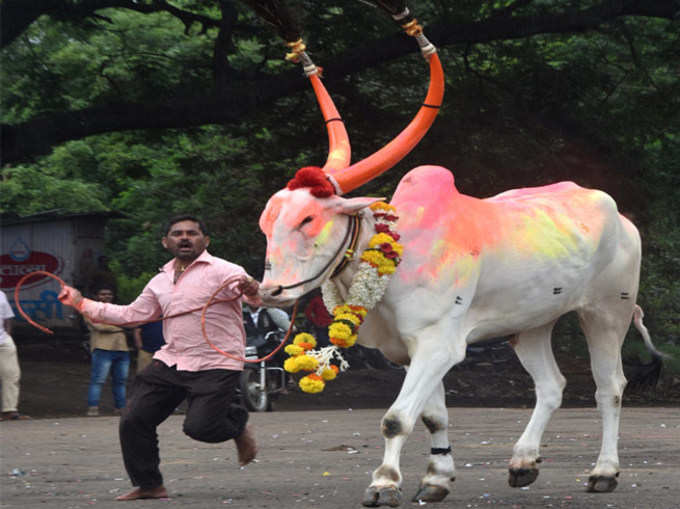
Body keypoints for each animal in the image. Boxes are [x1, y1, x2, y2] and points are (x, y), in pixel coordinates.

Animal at [250, 0, 664, 508]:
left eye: (308, 218)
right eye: (267, 220)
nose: (270, 291)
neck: (396, 256)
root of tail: (620, 216)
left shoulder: (438, 343)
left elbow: (396, 418)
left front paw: (384, 483)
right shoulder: (409, 352)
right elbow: (432, 416)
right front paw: (436, 479)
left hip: (607, 312)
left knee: (610, 387)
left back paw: (603, 471)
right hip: (531, 324)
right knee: (551, 385)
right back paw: (523, 462)